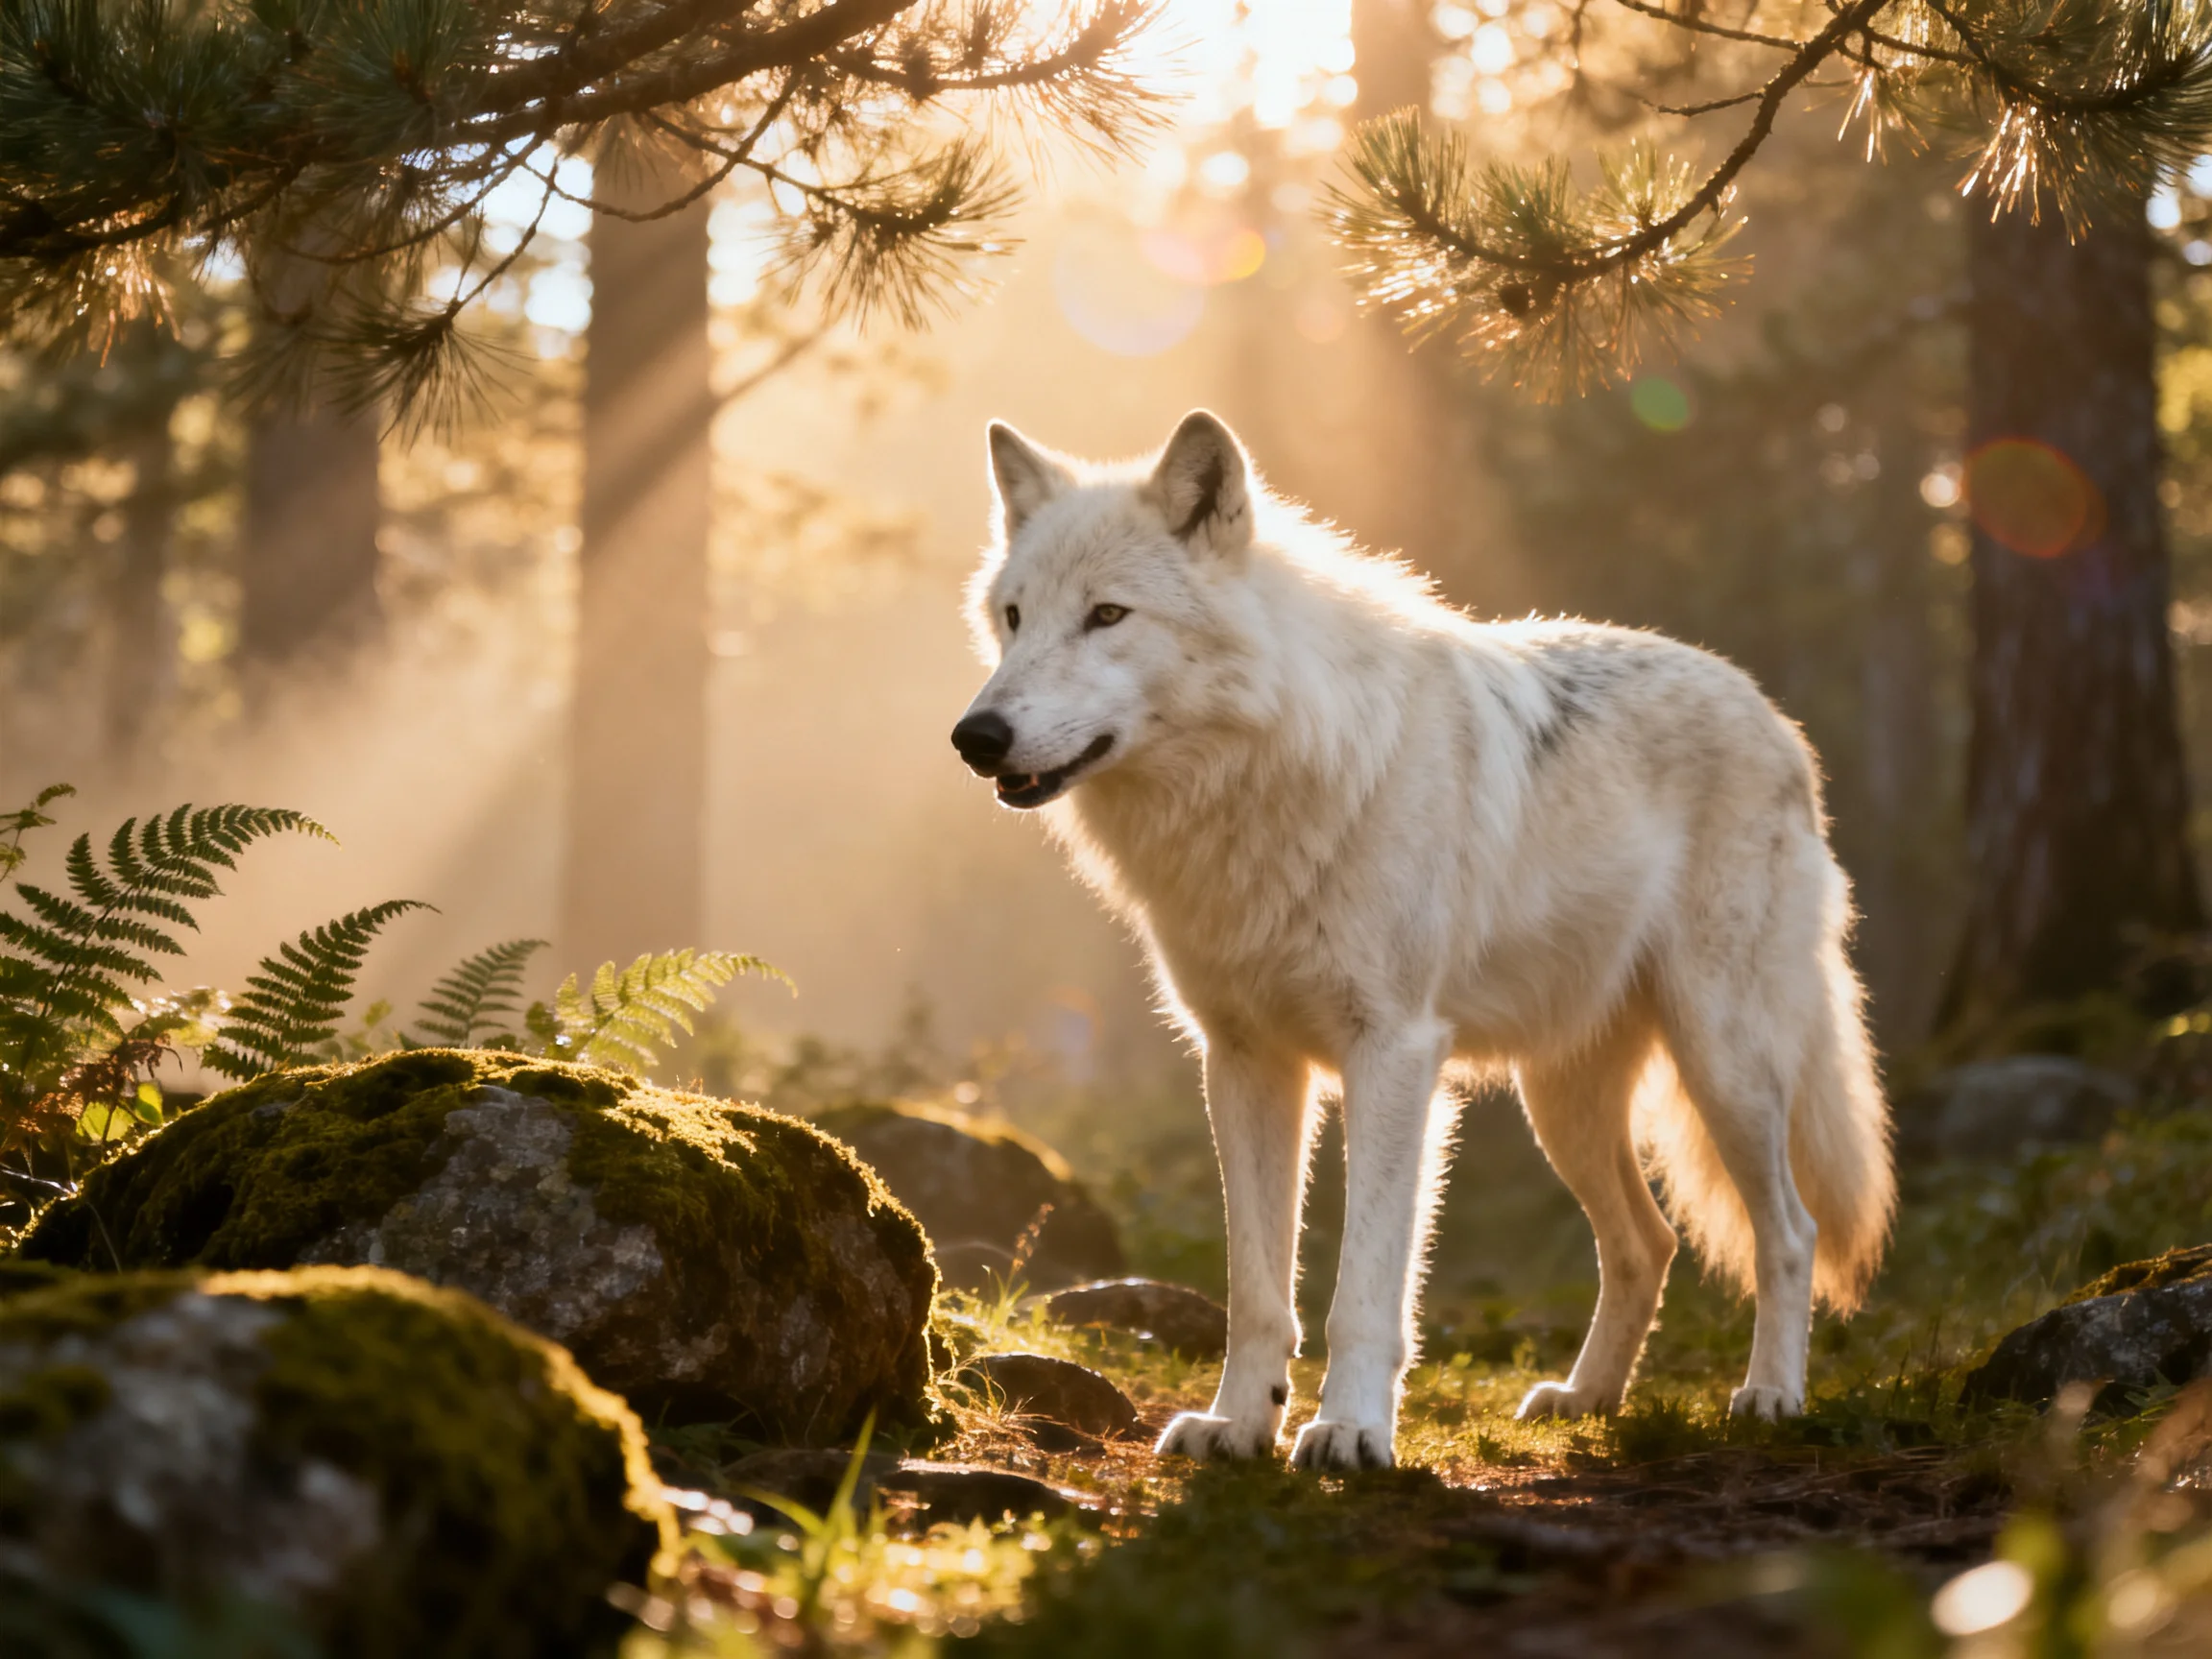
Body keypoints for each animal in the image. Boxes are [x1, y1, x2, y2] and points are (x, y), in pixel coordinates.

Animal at [950, 410, 1894, 1472]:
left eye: (1108, 616)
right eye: (1015, 617)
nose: (975, 736)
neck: (1262, 784)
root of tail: (1772, 715)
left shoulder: (1393, 1052)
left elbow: (1366, 1285)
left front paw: (1351, 1430)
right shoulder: (1243, 1062)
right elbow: (1256, 1288)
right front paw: (1239, 1424)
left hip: (1722, 1061)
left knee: (1791, 1231)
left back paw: (1770, 1394)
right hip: (1560, 1104)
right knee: (1648, 1243)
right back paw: (1585, 1397)